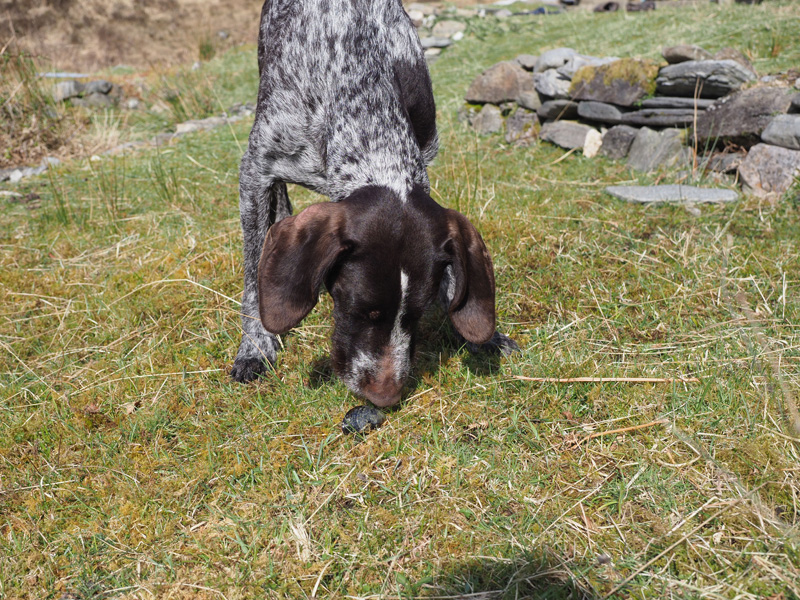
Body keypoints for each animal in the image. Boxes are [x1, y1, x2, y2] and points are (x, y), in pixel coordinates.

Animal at [231, 0, 520, 408]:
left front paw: (483, 336)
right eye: (358, 310)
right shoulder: (256, 171)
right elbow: (253, 278)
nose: (385, 397)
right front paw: (256, 346)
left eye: (416, 316)